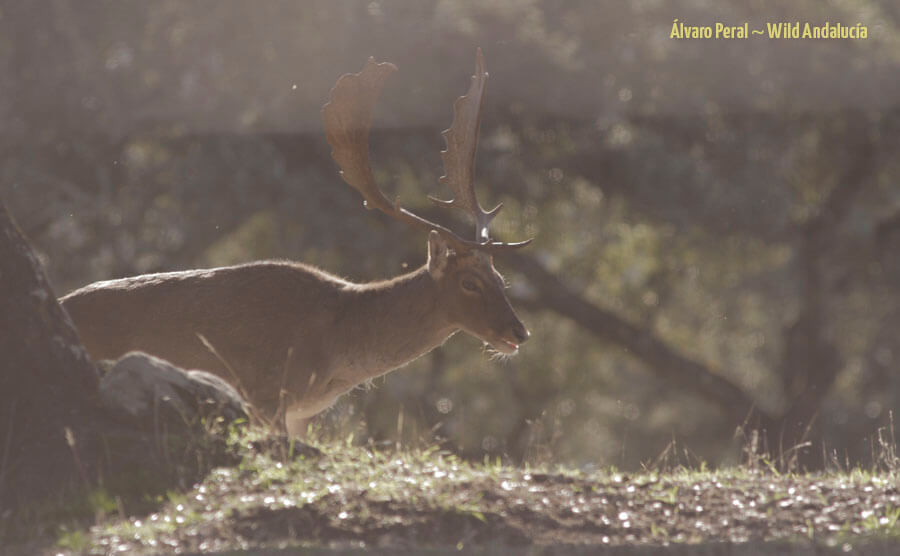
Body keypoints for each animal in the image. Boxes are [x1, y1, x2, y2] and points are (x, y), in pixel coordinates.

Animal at [63, 48, 532, 430]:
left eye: (501, 280)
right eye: (469, 282)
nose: (520, 331)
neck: (333, 351)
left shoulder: (301, 414)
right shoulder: (264, 393)